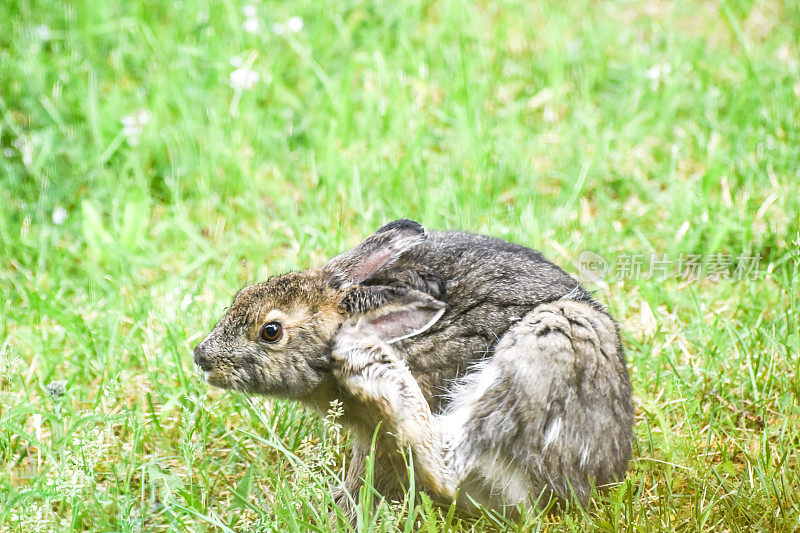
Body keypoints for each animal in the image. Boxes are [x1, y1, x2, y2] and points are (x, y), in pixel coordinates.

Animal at [194, 217, 632, 516]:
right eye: (241, 296)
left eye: (271, 331)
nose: (201, 357)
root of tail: (598, 475)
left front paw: (341, 511)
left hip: (548, 345)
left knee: (448, 471)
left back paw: (378, 374)